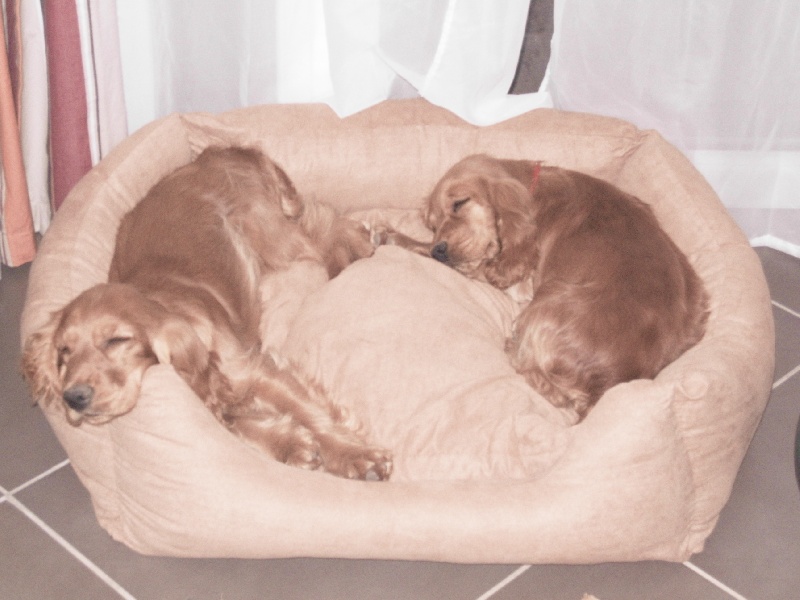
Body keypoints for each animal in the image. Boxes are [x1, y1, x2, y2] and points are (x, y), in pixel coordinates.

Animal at [22, 146, 392, 480]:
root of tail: (219, 152)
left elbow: (309, 411)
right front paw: (291, 444)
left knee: (331, 230)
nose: (74, 397)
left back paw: (365, 244)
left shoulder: (256, 370)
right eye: (64, 352)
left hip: (278, 239)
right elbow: (237, 425)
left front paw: (356, 455)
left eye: (116, 340)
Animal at [382, 154, 709, 420]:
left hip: (545, 304)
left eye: (459, 203)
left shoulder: (518, 282)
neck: (531, 190)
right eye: (432, 223)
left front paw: (393, 236)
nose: (439, 249)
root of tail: (606, 383)